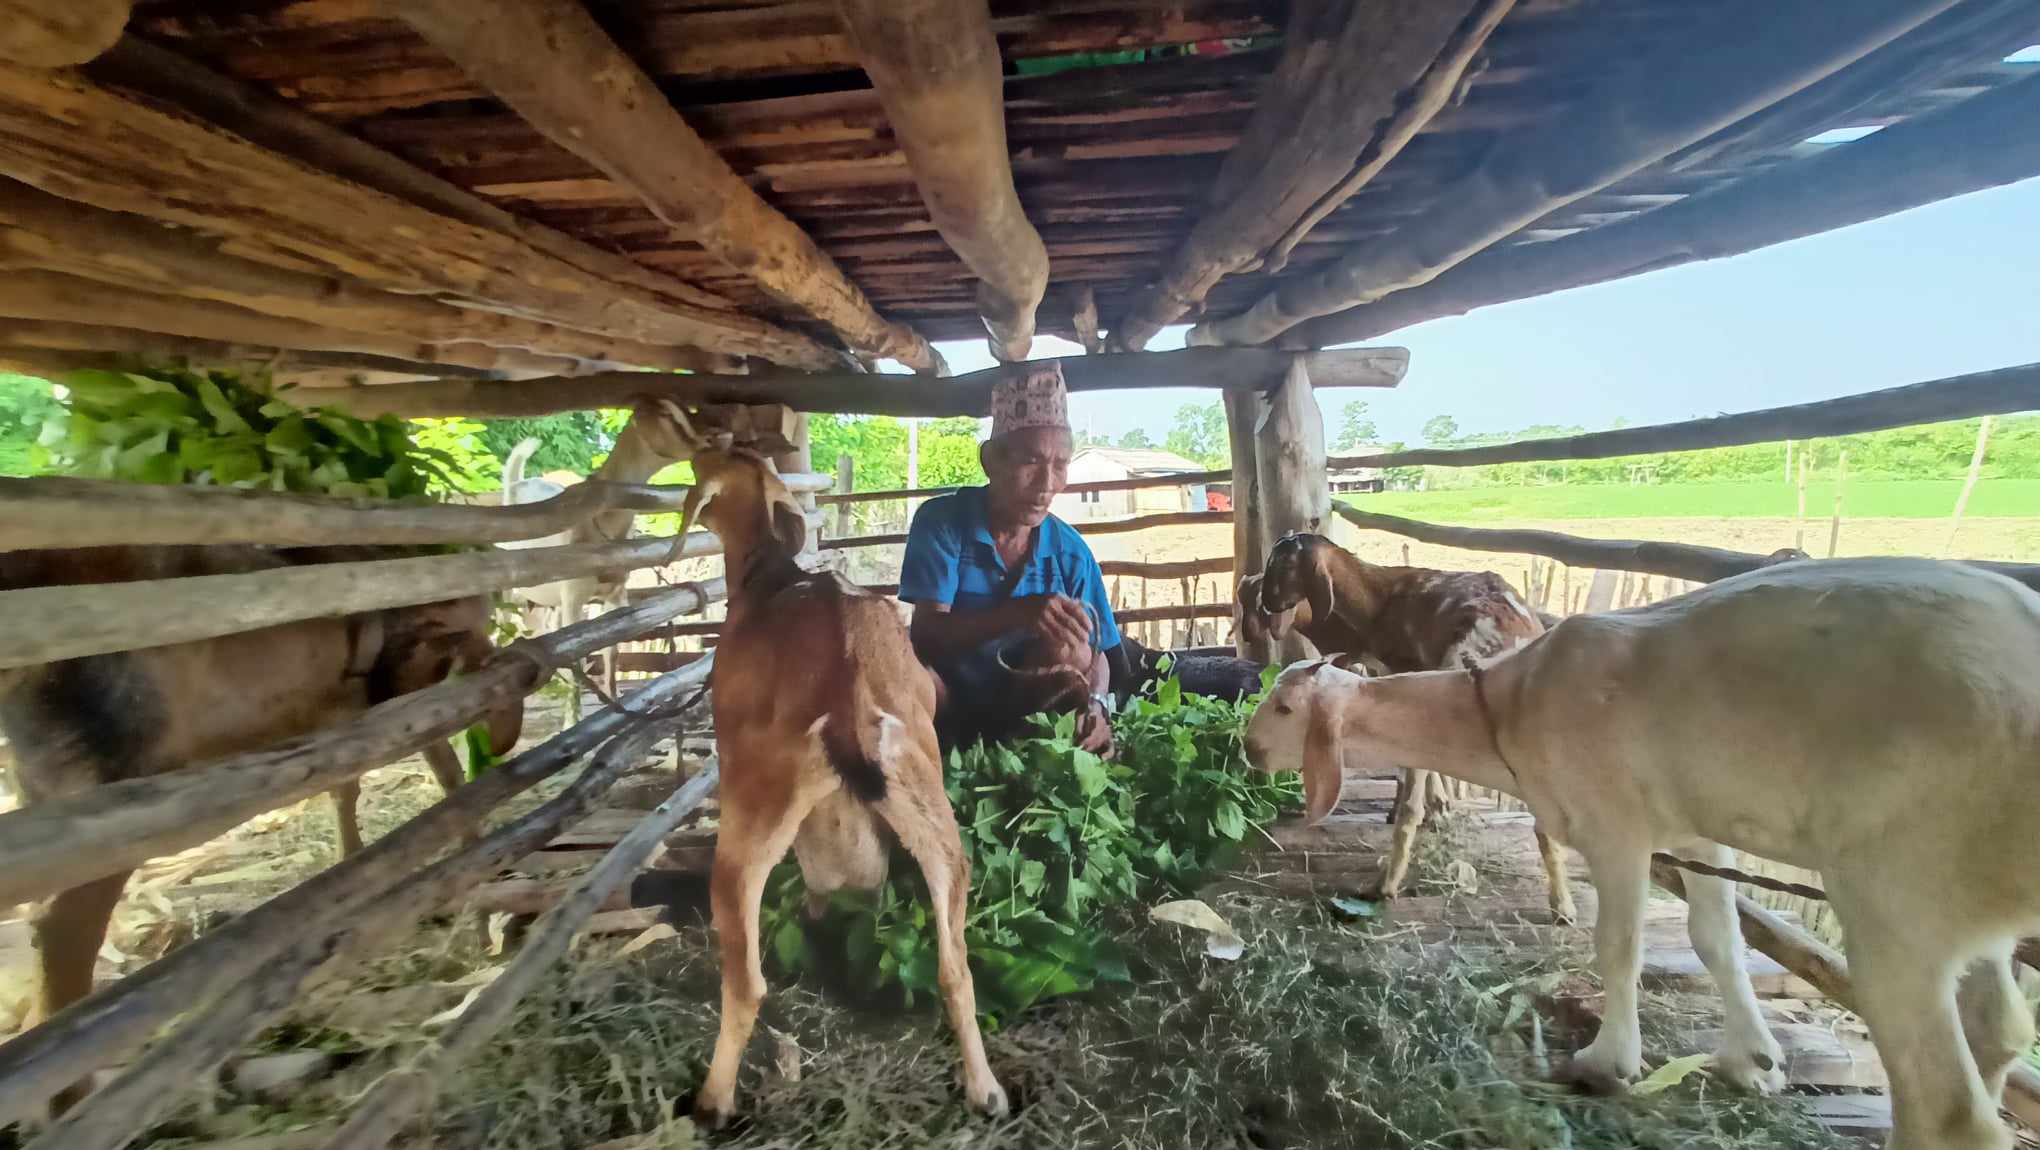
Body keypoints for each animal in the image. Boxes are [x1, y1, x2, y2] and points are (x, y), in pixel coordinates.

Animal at [681, 438, 1007, 1125]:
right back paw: (985, 1089)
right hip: (928, 810)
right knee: (954, 969)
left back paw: (713, 1099)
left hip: (752, 821)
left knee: (746, 981)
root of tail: (847, 684)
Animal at [1232, 534, 1566, 921]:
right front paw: (1439, 809)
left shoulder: (1401, 674)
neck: (1377, 599)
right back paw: (1562, 905)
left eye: (1285, 564)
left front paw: (1424, 807)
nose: (1268, 606)